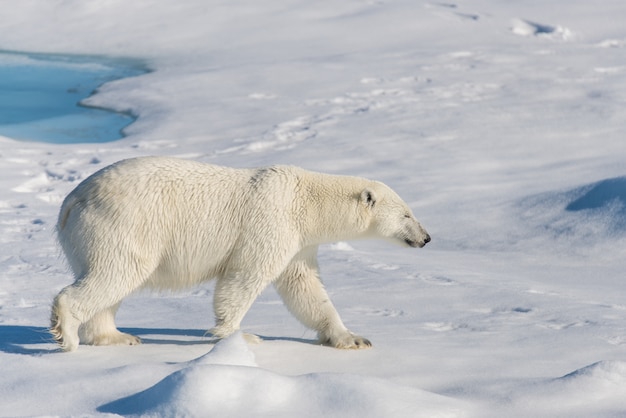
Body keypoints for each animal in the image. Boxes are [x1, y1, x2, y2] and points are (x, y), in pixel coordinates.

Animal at [51, 157, 428, 352]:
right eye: (407, 215)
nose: (426, 238)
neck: (305, 201)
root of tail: (70, 202)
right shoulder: (272, 221)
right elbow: (244, 277)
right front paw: (240, 335)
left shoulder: (299, 243)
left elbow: (305, 287)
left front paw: (353, 338)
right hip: (124, 224)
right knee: (117, 273)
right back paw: (67, 334)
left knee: (112, 283)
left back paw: (116, 336)